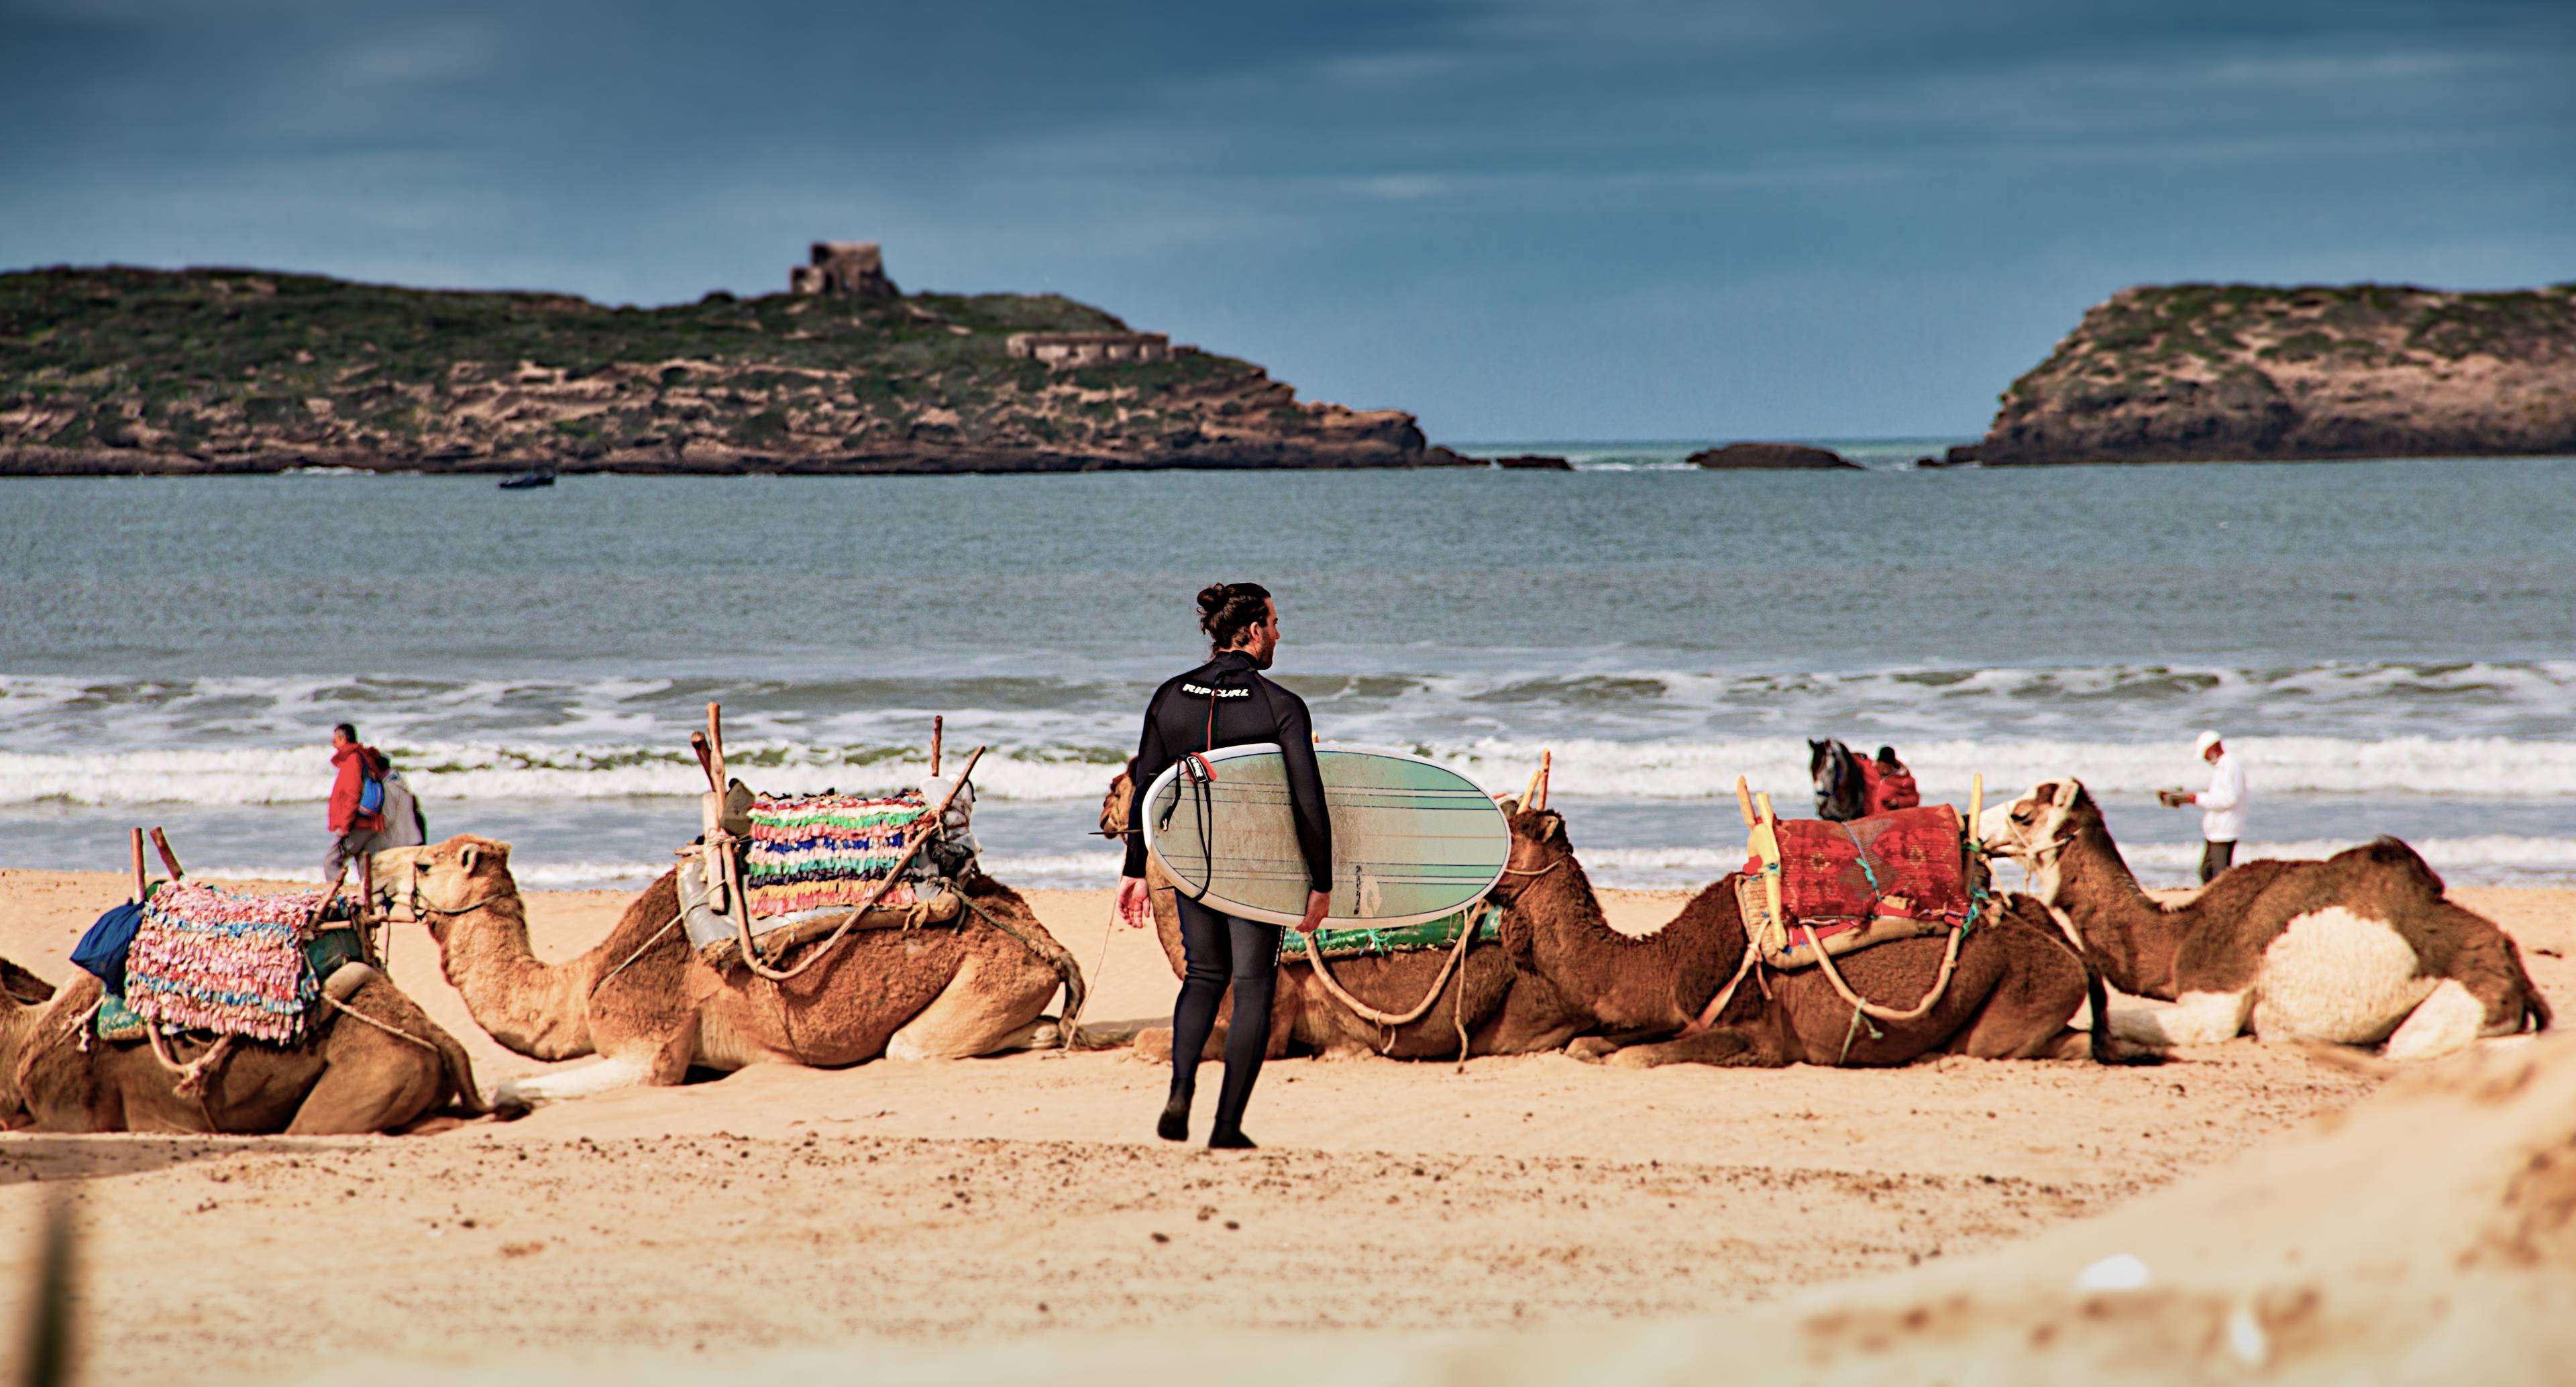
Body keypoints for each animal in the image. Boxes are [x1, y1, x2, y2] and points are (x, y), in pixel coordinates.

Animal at [381, 834, 1097, 1106]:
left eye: (425, 864)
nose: (373, 870)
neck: (582, 988)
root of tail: (1044, 937)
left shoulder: (648, 1046)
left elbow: (522, 1084)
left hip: (991, 976)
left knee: (916, 1046)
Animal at [1978, 777, 2544, 1060]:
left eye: (2023, 813)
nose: (1977, 831)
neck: (2181, 934)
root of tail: (2515, 970)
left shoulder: (2216, 999)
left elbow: (2119, 1019)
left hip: (2459, 1003)